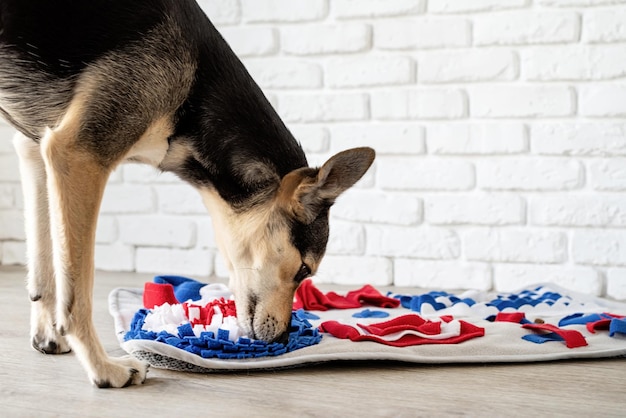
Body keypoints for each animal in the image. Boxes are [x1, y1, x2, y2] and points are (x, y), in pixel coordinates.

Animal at [0, 0, 370, 386]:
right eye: (303, 270)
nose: (283, 338)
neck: (196, 86)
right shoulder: (77, 155)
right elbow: (78, 291)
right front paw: (102, 368)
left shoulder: (36, 150)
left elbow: (43, 264)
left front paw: (48, 333)